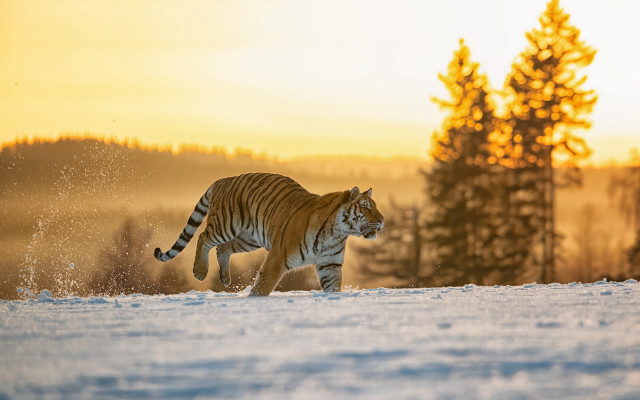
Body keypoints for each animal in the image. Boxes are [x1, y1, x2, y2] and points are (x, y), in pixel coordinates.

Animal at [154, 172, 384, 296]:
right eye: (365, 207)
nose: (382, 220)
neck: (337, 232)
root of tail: (223, 179)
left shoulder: (330, 264)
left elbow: (333, 288)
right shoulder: (278, 256)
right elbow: (264, 285)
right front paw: (255, 298)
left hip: (250, 238)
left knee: (223, 248)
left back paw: (225, 278)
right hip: (226, 225)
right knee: (204, 238)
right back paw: (200, 271)